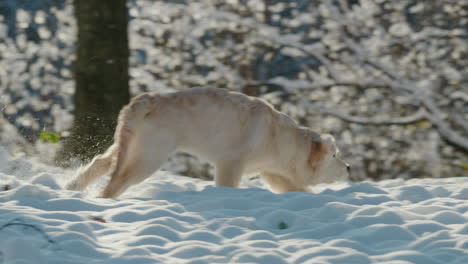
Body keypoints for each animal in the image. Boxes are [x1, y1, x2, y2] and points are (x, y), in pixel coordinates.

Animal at [67, 87, 350, 197]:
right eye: (335, 155)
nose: (348, 167)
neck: (281, 139)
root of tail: (148, 99)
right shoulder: (230, 164)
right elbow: (228, 185)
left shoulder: (274, 172)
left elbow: (297, 188)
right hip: (148, 157)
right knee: (116, 182)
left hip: (131, 146)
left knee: (101, 162)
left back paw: (73, 187)